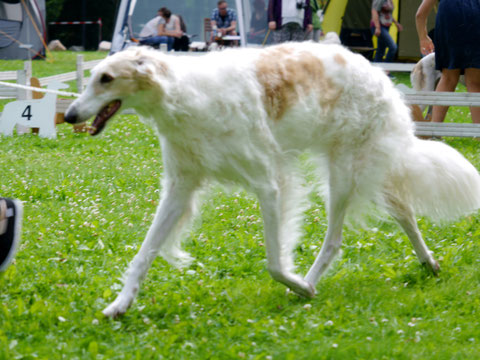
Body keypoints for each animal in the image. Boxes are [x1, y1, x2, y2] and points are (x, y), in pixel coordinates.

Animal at [63, 43, 480, 316]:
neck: (186, 96)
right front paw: (119, 304)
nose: (68, 115)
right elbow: (144, 253)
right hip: (365, 170)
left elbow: (275, 263)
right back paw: (428, 262)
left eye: (106, 79)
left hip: (344, 173)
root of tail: (379, 73)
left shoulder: (269, 183)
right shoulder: (180, 187)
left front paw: (300, 286)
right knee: (405, 212)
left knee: (335, 240)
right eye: (92, 78)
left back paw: (311, 281)